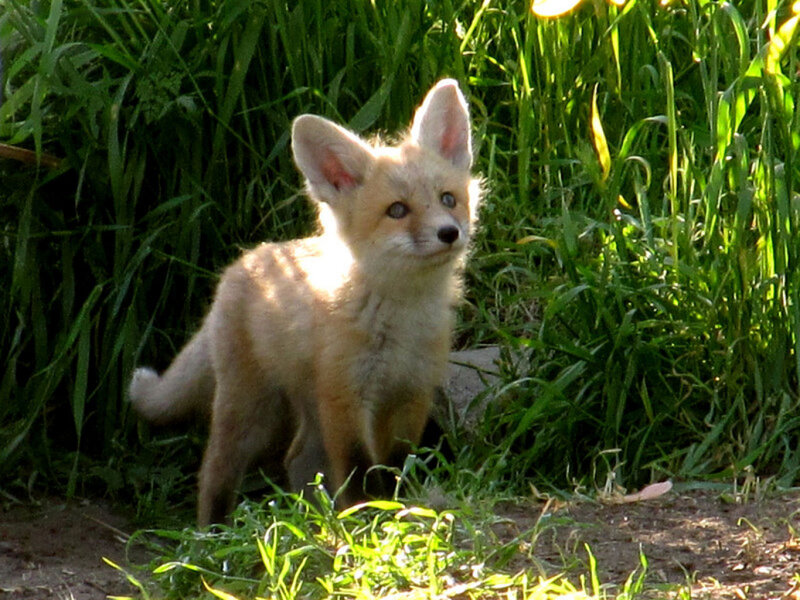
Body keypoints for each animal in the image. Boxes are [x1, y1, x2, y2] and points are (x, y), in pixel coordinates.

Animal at [128, 79, 481, 526]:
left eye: (448, 199)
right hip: (250, 411)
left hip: (308, 409)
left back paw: (313, 521)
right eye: (397, 210)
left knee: (297, 460)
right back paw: (215, 532)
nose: (449, 233)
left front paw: (393, 512)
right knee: (215, 470)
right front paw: (369, 521)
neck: (400, 320)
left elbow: (397, 467)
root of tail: (244, 262)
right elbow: (361, 473)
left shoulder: (411, 395)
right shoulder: (346, 399)